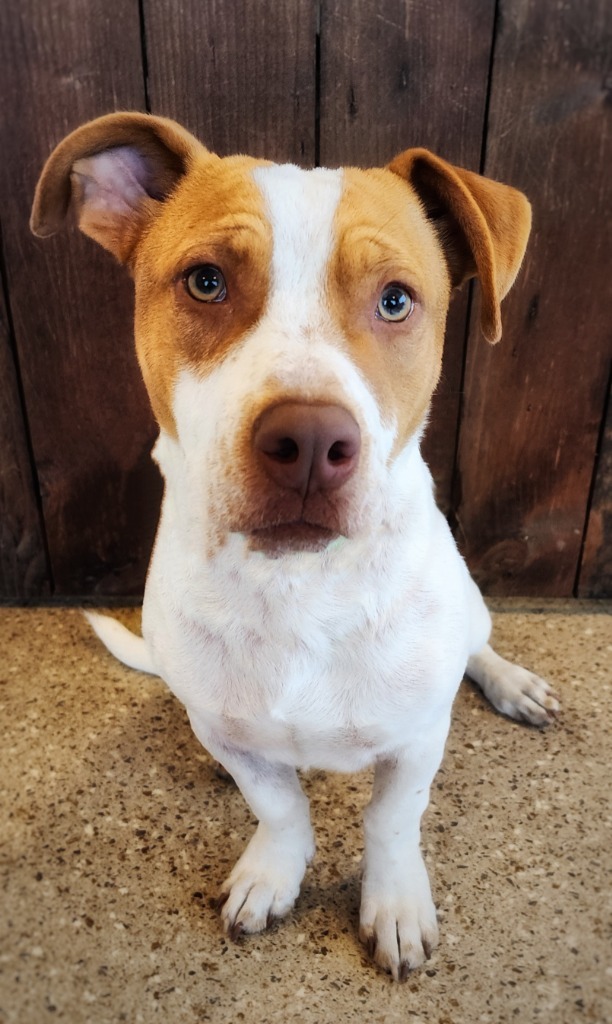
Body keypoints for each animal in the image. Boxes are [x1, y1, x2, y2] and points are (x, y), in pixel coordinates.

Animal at [32, 114, 560, 983]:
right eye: (206, 281)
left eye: (395, 300)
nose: (310, 443)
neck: (297, 587)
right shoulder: (232, 732)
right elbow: (278, 805)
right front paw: (274, 870)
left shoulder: (418, 739)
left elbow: (391, 819)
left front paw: (395, 901)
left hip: (470, 614)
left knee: (477, 647)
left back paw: (510, 681)